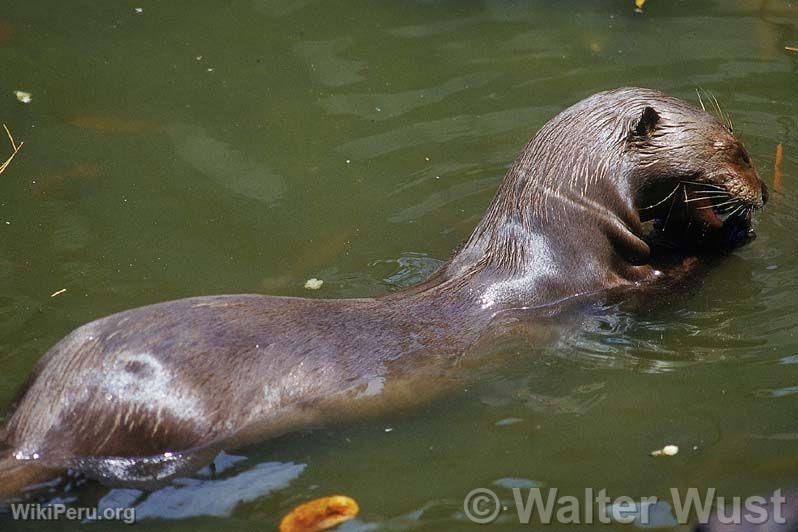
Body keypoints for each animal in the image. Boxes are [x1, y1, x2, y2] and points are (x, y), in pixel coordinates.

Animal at [0, 87, 768, 498]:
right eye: (735, 149)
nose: (762, 189)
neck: (554, 230)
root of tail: (43, 410)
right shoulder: (597, 288)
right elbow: (669, 279)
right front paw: (726, 233)